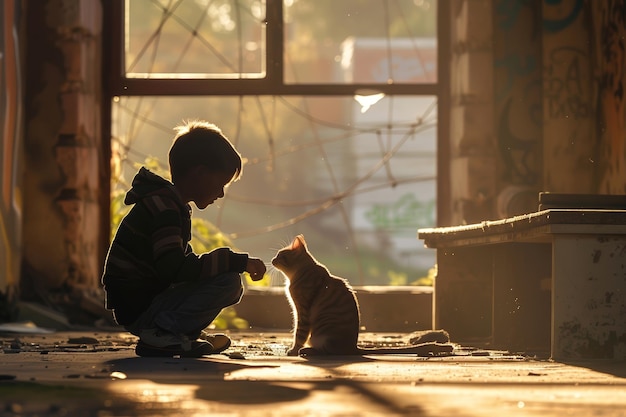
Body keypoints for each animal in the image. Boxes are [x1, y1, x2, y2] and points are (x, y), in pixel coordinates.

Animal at [270, 236, 450, 356]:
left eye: (280, 255)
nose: (271, 260)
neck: (299, 274)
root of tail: (352, 347)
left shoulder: (302, 311)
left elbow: (299, 333)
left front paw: (293, 349)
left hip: (324, 335)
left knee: (328, 351)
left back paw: (308, 350)